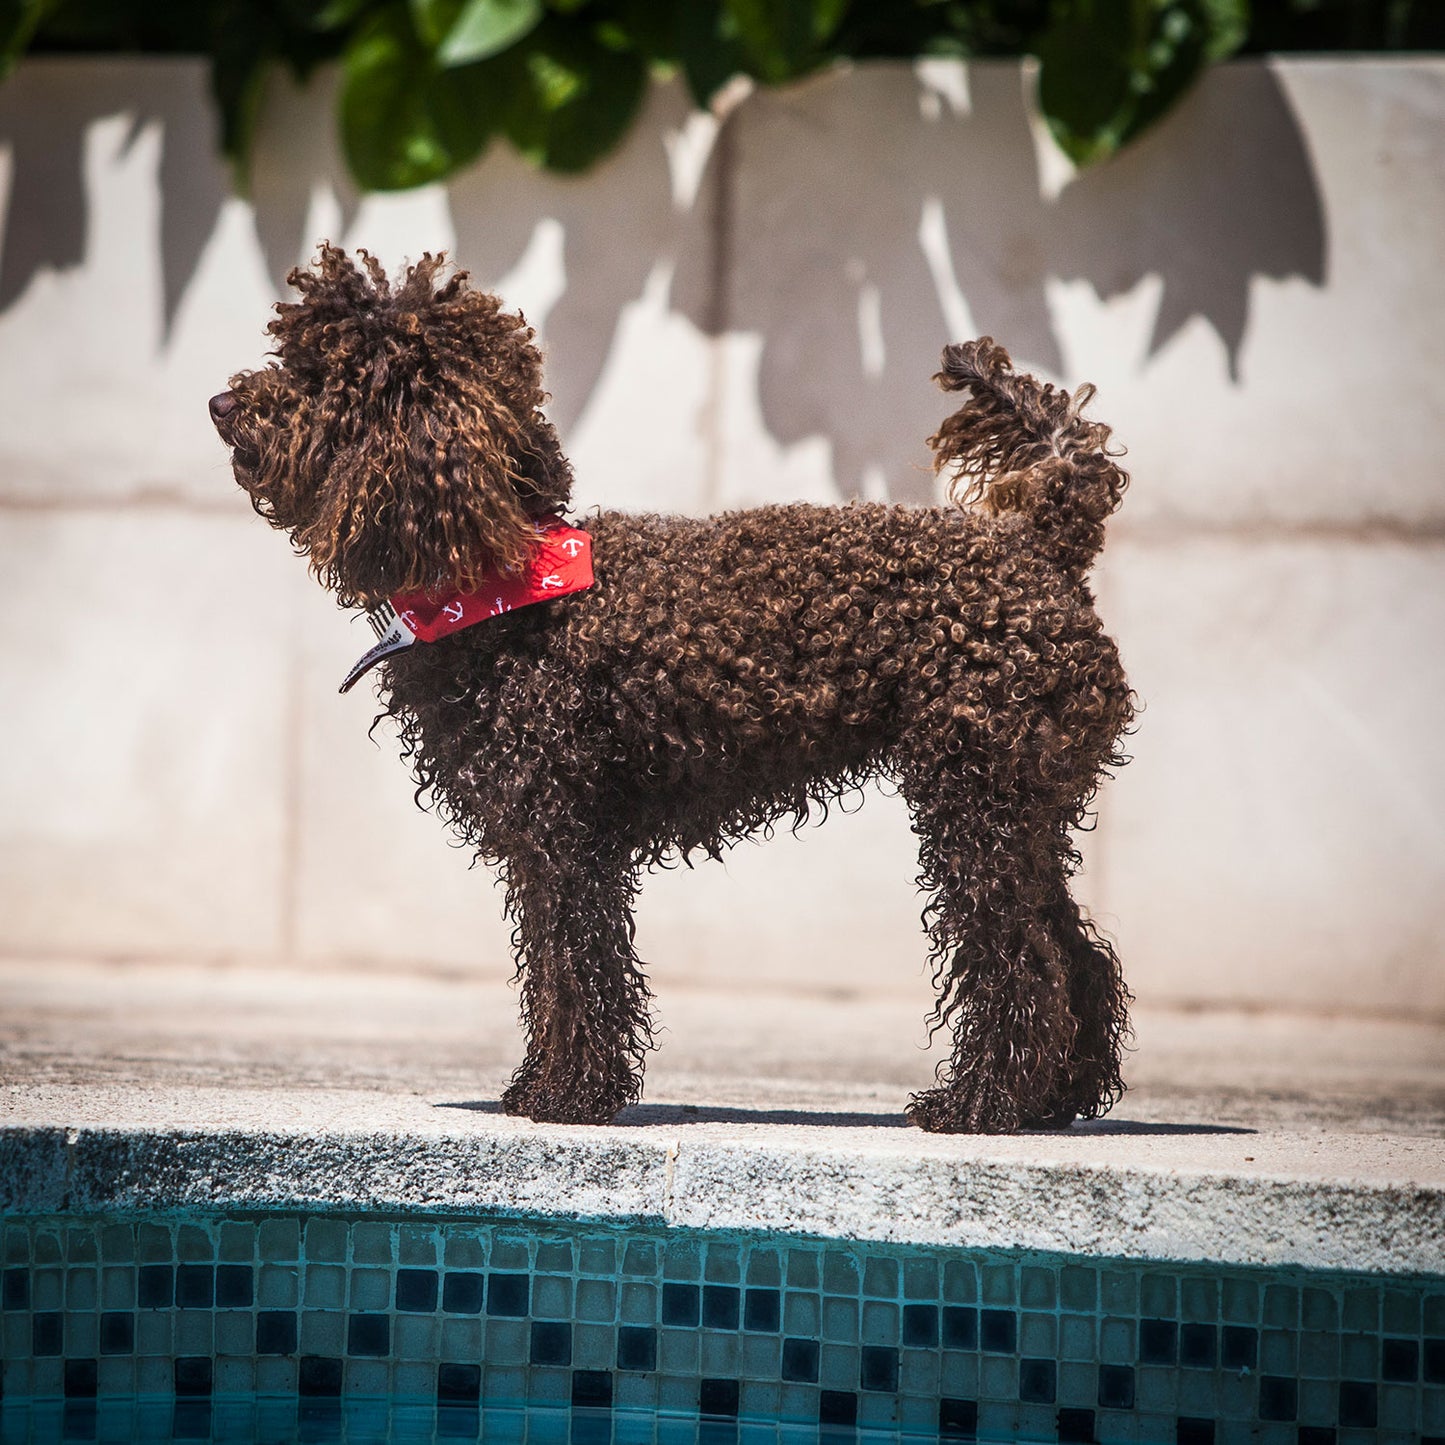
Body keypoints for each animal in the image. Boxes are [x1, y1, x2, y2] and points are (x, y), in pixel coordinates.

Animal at [210, 245, 1138, 1127]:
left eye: (319, 375)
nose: (221, 405)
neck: (505, 583)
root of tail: (1040, 545)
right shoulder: (541, 846)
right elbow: (551, 968)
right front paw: (538, 1086)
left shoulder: (567, 833)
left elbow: (581, 965)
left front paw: (569, 1095)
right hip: (1022, 808)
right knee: (1075, 952)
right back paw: (1056, 1097)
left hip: (977, 800)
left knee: (1016, 959)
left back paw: (982, 1103)